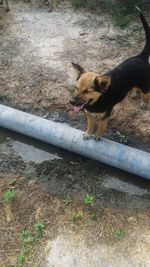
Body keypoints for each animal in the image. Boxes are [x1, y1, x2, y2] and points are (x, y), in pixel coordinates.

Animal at [69, 6, 150, 140]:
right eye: (76, 88)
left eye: (87, 91)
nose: (71, 102)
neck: (97, 100)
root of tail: (140, 57)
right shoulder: (88, 113)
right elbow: (90, 124)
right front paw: (88, 133)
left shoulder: (106, 114)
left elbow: (101, 125)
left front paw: (97, 135)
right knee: (136, 87)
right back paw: (135, 93)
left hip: (145, 85)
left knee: (147, 94)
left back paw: (144, 102)